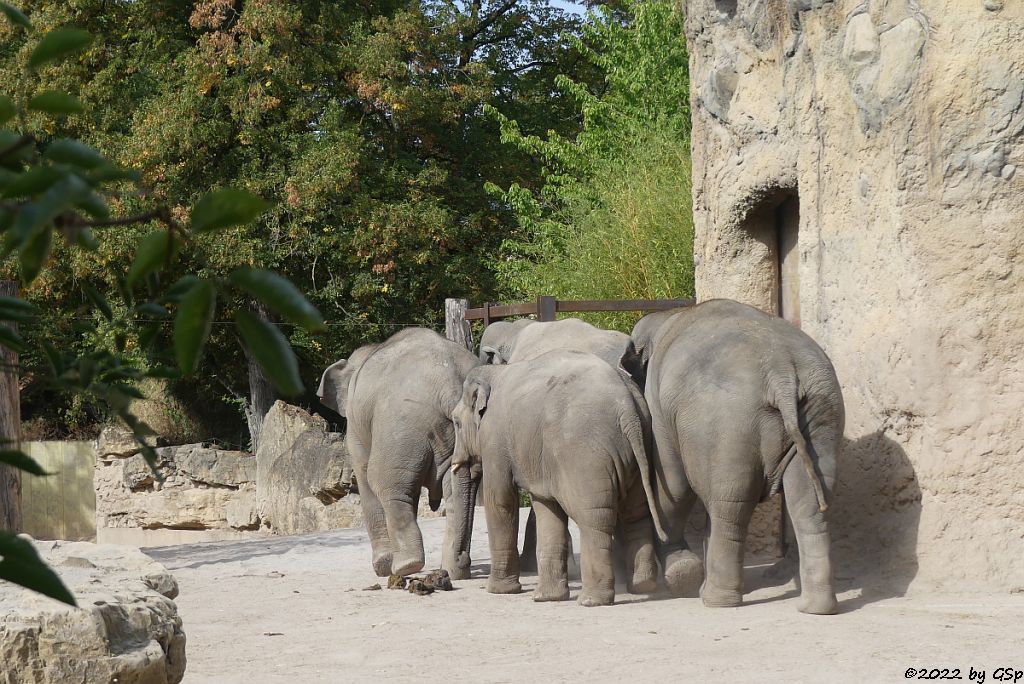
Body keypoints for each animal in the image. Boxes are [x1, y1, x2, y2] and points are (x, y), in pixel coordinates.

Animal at [315, 327, 479, 581]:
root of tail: (451, 387)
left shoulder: (356, 427)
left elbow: (363, 475)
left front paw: (381, 568)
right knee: (459, 491)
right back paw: (454, 571)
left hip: (402, 427)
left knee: (384, 483)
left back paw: (405, 567)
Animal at [450, 350, 663, 606]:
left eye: (456, 423)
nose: (463, 559)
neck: (496, 372)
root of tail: (628, 410)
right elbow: (546, 506)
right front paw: (546, 598)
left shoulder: (494, 438)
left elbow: (500, 501)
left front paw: (498, 591)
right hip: (642, 448)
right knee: (636, 513)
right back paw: (642, 586)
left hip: (586, 458)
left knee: (594, 518)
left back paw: (591, 600)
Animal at [643, 298, 843, 614]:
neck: (670, 317)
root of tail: (781, 372)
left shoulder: (658, 406)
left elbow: (673, 485)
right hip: (822, 409)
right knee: (810, 501)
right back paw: (816, 608)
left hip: (729, 423)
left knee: (729, 506)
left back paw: (716, 601)